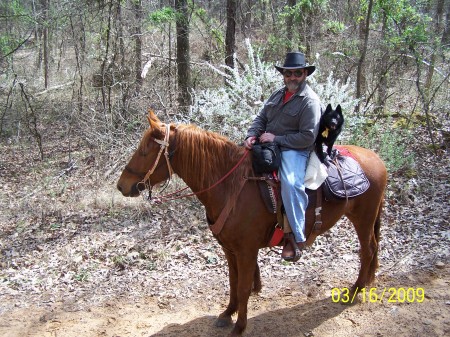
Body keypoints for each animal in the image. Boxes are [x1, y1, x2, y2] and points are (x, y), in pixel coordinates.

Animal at [116, 111, 386, 336]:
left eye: (144, 152)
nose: (121, 186)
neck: (230, 186)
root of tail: (377, 158)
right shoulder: (229, 249)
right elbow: (233, 282)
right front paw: (228, 313)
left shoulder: (247, 250)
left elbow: (244, 285)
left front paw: (240, 326)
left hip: (363, 218)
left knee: (368, 249)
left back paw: (355, 290)